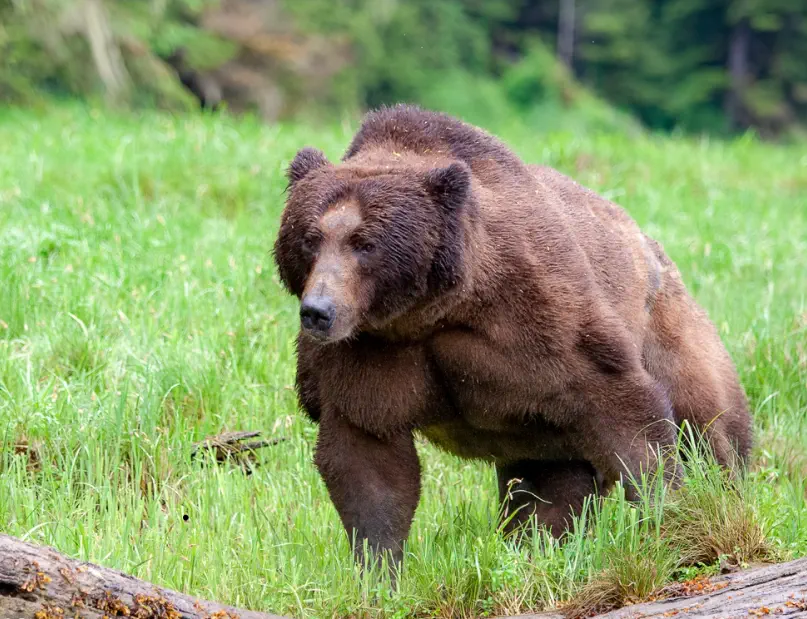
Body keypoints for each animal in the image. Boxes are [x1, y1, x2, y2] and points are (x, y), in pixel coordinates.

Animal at [272, 104, 752, 568]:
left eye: (364, 243)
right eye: (310, 237)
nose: (318, 311)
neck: (436, 309)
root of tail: (647, 241)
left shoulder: (538, 320)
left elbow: (626, 411)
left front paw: (672, 516)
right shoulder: (366, 353)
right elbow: (369, 460)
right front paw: (378, 568)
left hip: (665, 319)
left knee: (708, 418)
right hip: (544, 439)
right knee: (549, 490)